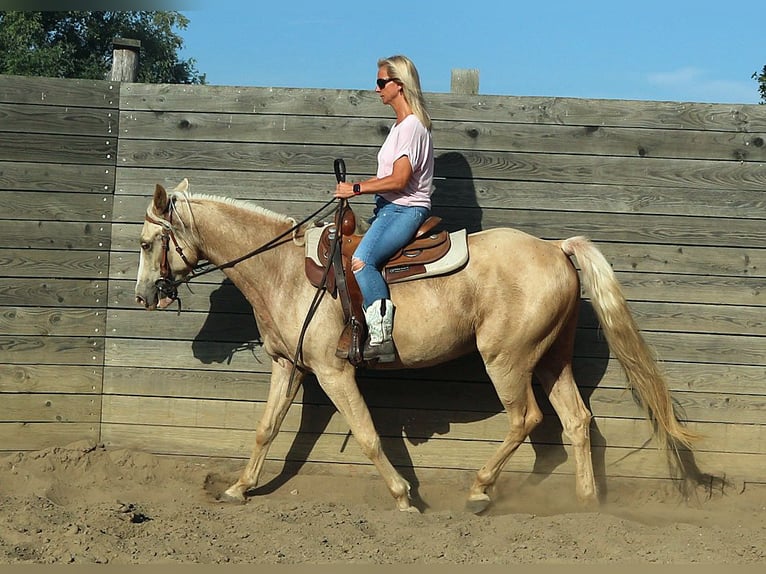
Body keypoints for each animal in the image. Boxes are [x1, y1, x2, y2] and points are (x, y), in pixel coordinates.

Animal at [135, 179, 700, 512]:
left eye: (145, 243)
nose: (143, 296)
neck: (284, 271)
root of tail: (555, 248)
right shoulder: (288, 366)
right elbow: (265, 430)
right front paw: (238, 487)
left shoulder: (333, 372)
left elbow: (367, 436)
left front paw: (404, 496)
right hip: (551, 358)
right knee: (577, 421)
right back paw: (585, 501)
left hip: (507, 359)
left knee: (527, 418)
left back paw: (480, 489)